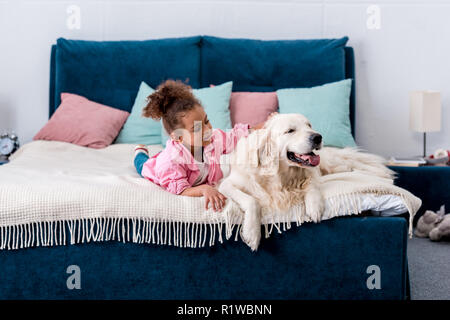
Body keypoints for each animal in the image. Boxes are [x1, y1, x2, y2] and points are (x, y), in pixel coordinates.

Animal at [220, 114, 396, 251]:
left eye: (309, 125)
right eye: (290, 131)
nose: (318, 137)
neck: (280, 175)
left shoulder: (312, 173)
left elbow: (312, 185)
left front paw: (315, 206)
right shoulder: (226, 185)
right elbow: (252, 201)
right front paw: (252, 232)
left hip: (329, 163)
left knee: (349, 163)